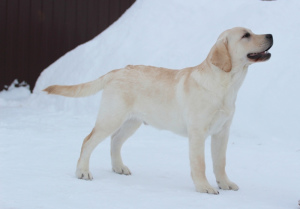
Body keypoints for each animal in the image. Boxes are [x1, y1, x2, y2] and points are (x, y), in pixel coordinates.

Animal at [45, 26, 274, 194]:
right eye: (246, 35)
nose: (271, 34)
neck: (226, 85)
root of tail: (116, 71)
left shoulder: (222, 132)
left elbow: (220, 162)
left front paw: (225, 183)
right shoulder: (198, 133)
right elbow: (200, 164)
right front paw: (204, 187)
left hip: (132, 122)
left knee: (115, 141)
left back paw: (119, 167)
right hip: (111, 117)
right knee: (88, 141)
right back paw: (83, 172)